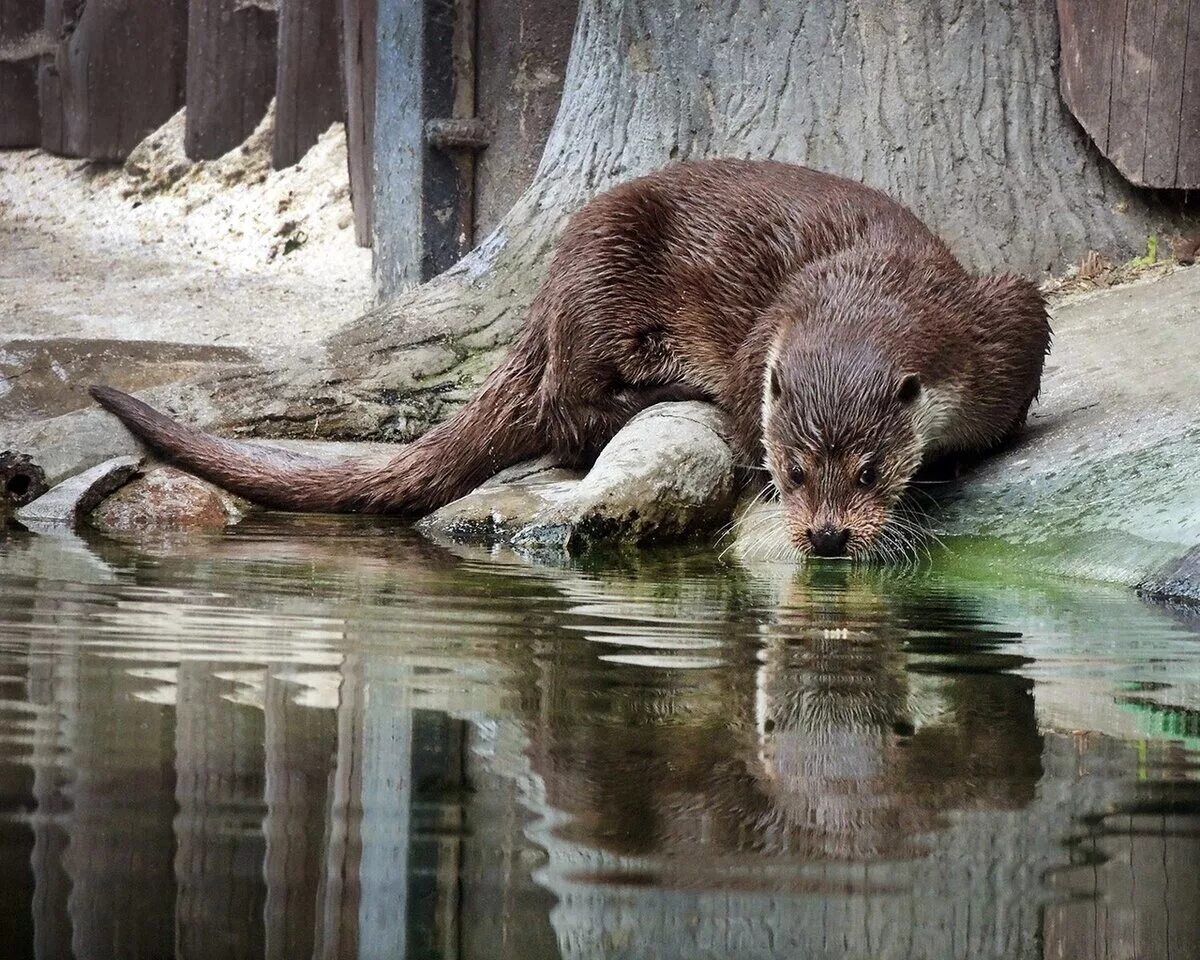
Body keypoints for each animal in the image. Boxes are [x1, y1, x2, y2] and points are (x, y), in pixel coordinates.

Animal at [91, 160, 1051, 559]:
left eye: (867, 470)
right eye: (795, 468)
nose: (823, 536)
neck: (869, 280)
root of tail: (547, 288)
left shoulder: (1000, 309)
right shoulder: (758, 350)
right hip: (600, 274)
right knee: (565, 416)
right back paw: (657, 389)